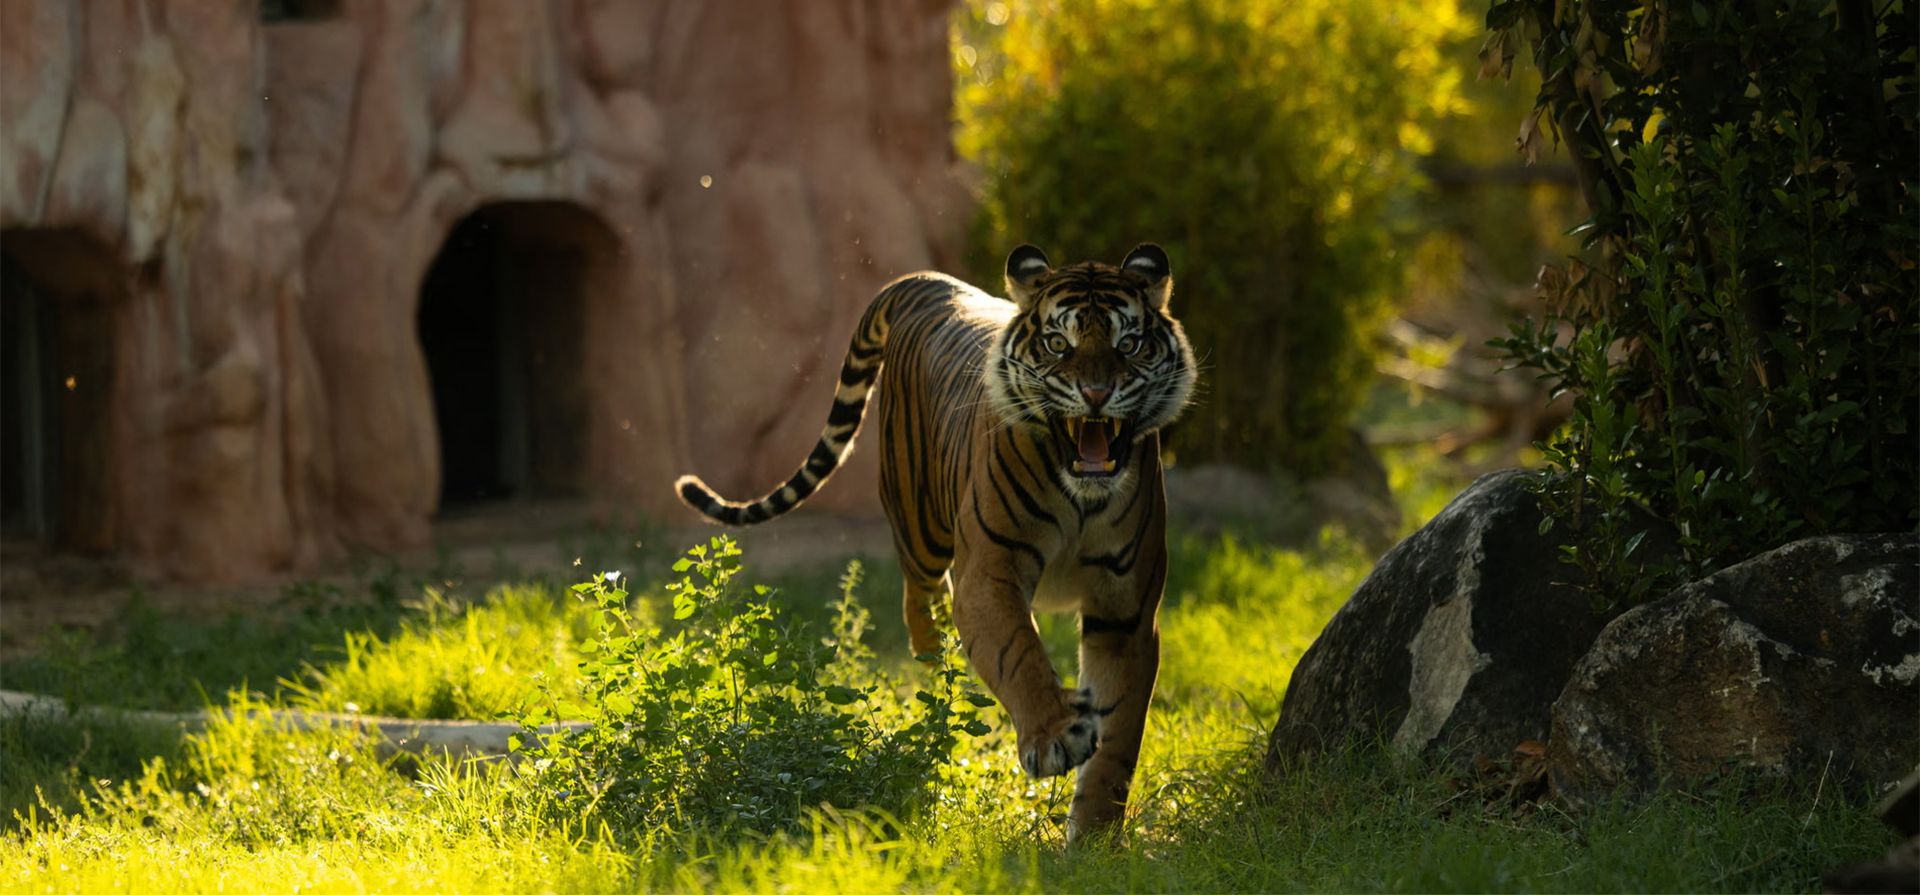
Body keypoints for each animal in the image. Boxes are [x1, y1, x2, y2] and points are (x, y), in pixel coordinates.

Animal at [674, 244, 1197, 843]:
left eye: (1127, 344)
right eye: (1057, 344)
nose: (1096, 394)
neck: (1082, 494)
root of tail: (927, 282)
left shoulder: (1125, 611)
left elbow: (1118, 740)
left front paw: (1093, 841)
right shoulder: (988, 574)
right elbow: (1019, 652)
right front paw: (1054, 734)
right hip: (919, 522)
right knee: (919, 604)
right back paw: (938, 673)